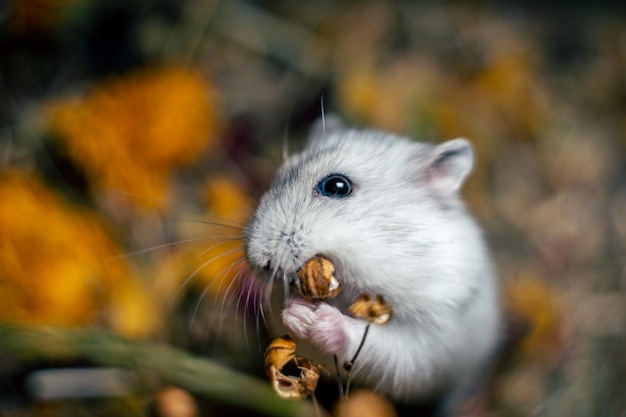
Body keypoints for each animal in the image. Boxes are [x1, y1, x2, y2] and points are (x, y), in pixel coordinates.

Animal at [243, 118, 498, 404]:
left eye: (336, 186)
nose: (258, 261)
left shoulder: (429, 337)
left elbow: (379, 346)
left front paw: (323, 320)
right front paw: (298, 312)